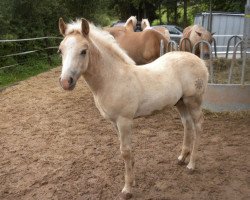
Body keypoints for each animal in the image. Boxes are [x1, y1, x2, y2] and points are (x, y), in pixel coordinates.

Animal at [58, 18, 209, 199]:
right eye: (60, 50)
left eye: (83, 51)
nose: (66, 82)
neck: (113, 79)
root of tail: (198, 60)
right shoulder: (114, 123)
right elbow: (126, 151)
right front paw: (133, 180)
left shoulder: (124, 121)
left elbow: (125, 152)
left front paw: (127, 189)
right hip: (180, 102)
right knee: (187, 124)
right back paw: (182, 157)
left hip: (193, 101)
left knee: (198, 126)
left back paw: (191, 164)